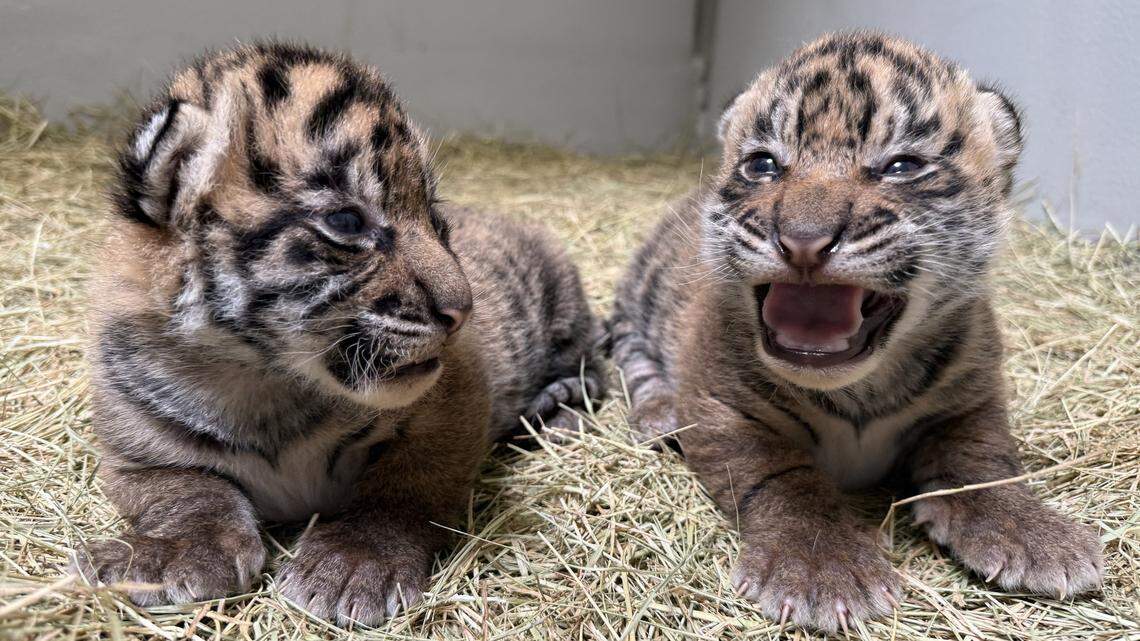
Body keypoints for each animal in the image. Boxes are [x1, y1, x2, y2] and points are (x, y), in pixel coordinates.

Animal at [74, 41, 605, 626]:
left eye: (432, 215)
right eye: (348, 223)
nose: (463, 310)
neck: (261, 386)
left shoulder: (457, 395)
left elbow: (405, 483)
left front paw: (352, 566)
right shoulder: (134, 455)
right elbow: (189, 493)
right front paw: (169, 556)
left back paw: (556, 413)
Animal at [610, 31, 1102, 632]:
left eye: (901, 166)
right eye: (763, 165)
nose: (802, 240)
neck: (857, 388)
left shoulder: (972, 400)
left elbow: (980, 461)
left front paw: (1029, 533)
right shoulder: (721, 404)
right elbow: (785, 478)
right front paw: (822, 570)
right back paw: (659, 416)